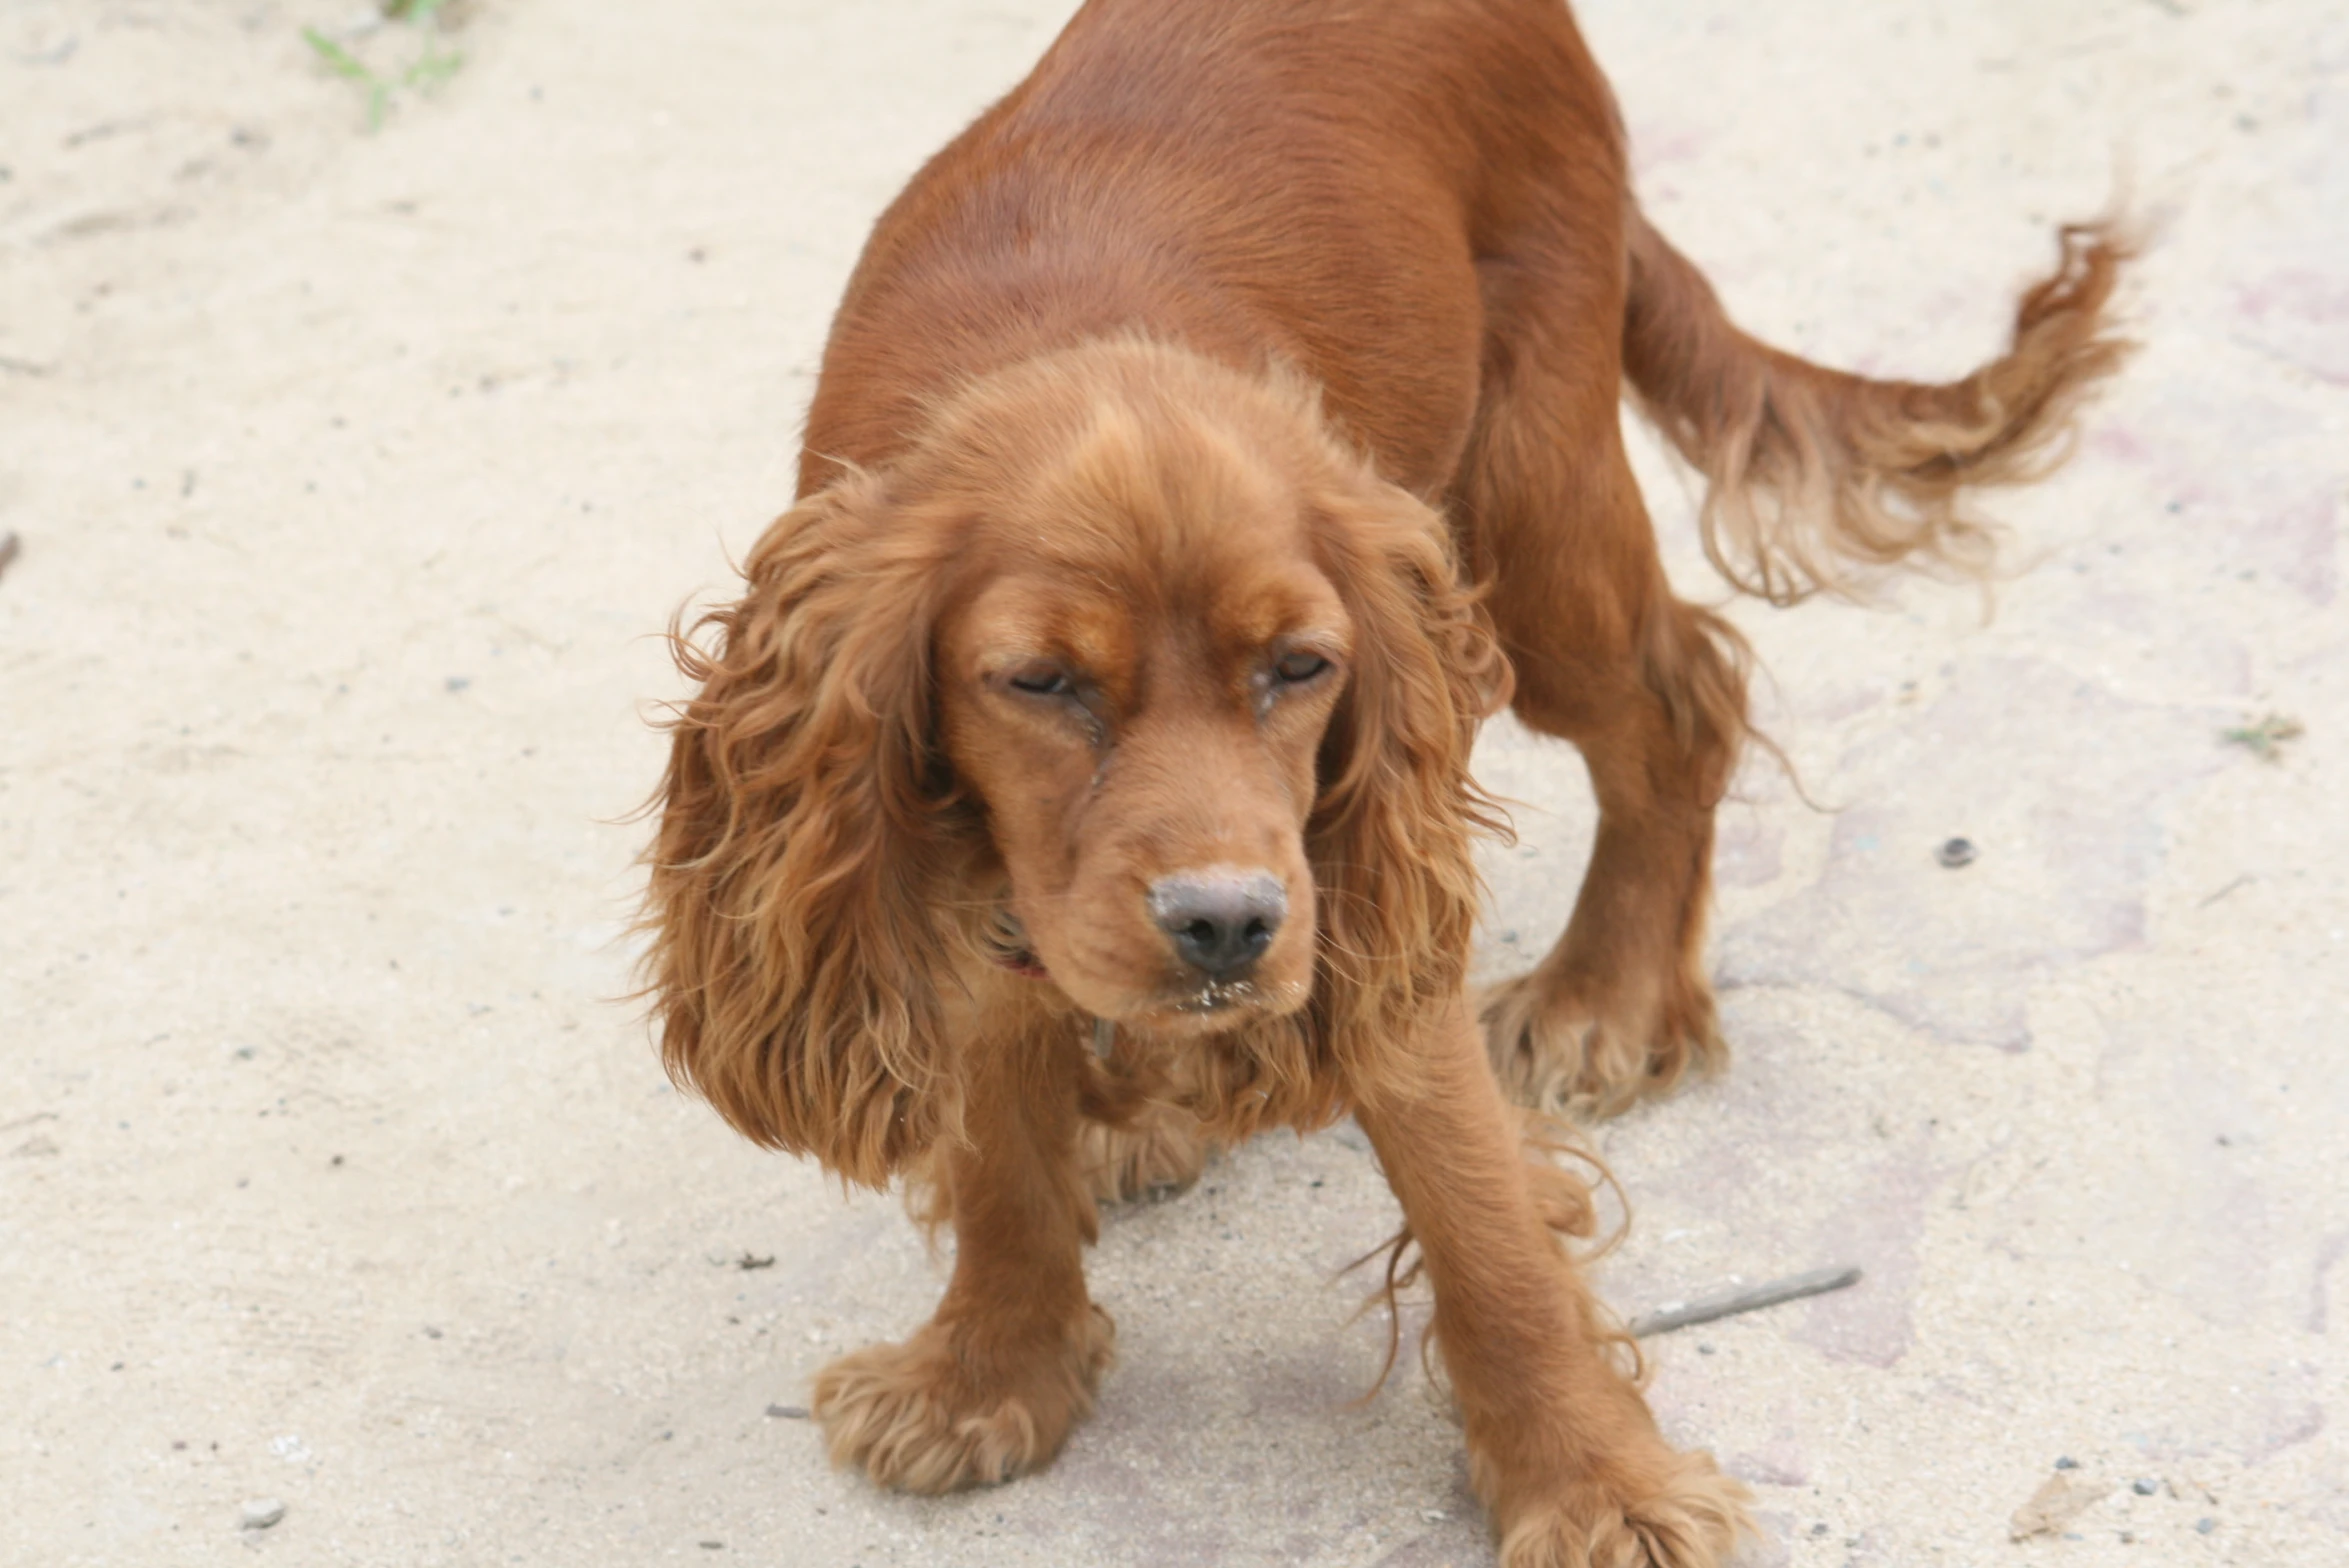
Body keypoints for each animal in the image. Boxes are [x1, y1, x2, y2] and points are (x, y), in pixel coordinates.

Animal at [643, 6, 2132, 1558]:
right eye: (1039, 682)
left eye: (1301, 666)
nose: (1227, 926)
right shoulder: (968, 866)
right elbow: (999, 1151)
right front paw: (989, 1374)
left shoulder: (1356, 895)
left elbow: (1483, 1224)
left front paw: (1593, 1482)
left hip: (1532, 505)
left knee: (1682, 698)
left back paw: (1606, 1000)